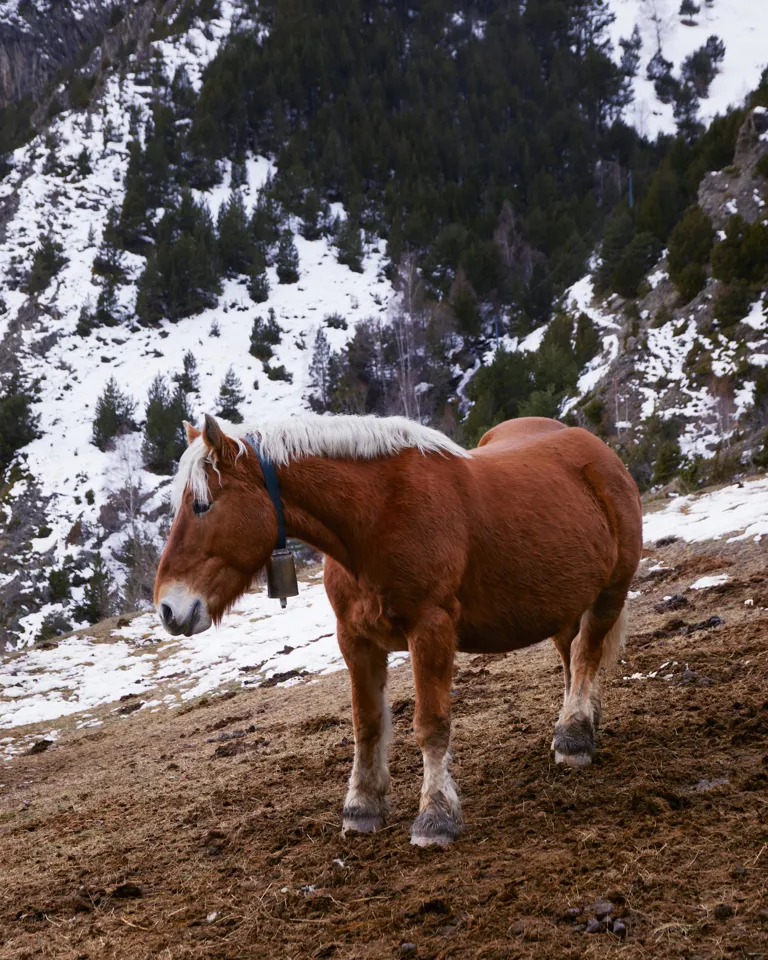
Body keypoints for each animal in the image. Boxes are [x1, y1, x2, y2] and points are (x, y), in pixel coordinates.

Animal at [154, 412, 642, 848]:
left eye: (202, 505)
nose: (168, 609)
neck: (376, 516)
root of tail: (599, 453)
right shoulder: (355, 639)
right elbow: (367, 724)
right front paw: (362, 808)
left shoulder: (431, 630)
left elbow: (431, 725)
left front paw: (435, 818)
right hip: (563, 603)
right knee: (572, 659)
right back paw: (580, 725)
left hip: (609, 593)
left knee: (586, 654)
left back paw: (574, 736)